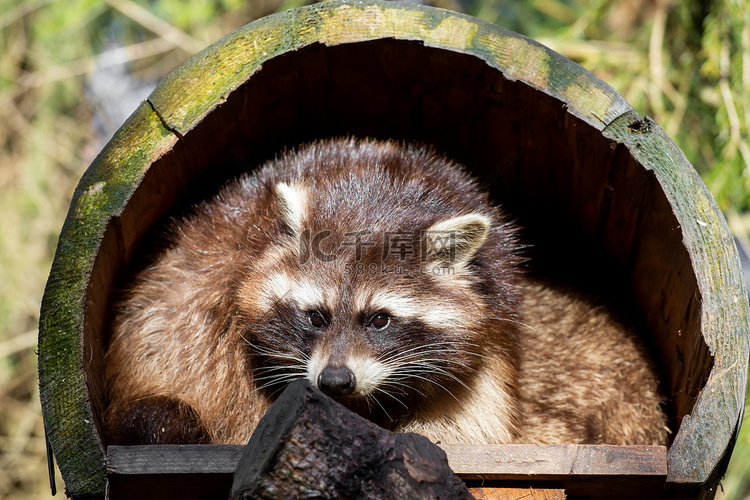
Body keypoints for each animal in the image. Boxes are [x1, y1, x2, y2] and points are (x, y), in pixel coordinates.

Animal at [104, 136, 668, 446]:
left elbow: (472, 411)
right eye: (315, 316)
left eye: (380, 319)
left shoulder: (499, 296)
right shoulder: (229, 259)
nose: (335, 381)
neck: (377, 195)